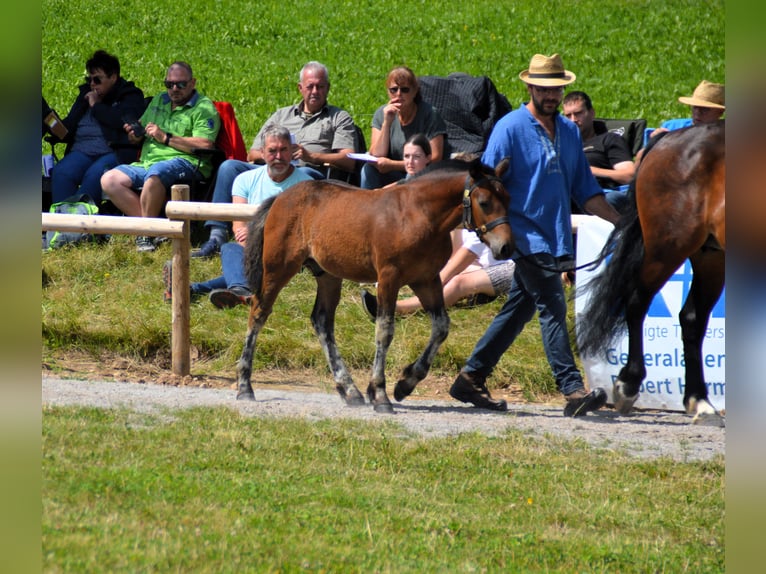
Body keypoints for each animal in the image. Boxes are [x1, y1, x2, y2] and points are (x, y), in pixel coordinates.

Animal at [237, 160, 512, 414]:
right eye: (484, 202)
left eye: (508, 199)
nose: (506, 247)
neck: (417, 214)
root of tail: (281, 197)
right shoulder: (389, 278)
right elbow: (385, 330)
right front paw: (380, 394)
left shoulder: (427, 279)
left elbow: (441, 327)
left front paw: (405, 384)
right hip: (278, 268)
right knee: (258, 313)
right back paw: (244, 387)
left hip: (328, 276)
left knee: (322, 321)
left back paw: (349, 390)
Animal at [584, 121, 728, 426]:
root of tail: (669, 138)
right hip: (668, 247)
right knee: (637, 302)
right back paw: (628, 384)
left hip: (711, 256)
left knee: (692, 318)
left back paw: (699, 401)